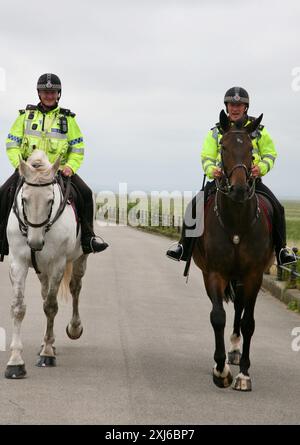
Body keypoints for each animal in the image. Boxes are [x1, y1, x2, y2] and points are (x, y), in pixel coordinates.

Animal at [5, 150, 87, 378]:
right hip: (42, 271)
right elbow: (18, 308)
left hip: (79, 260)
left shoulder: (58, 264)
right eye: (24, 199)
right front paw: (15, 362)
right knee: (44, 292)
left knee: (75, 288)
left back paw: (73, 329)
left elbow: (51, 306)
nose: (34, 243)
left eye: (50, 201)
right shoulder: (18, 263)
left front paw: (48, 354)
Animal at [193, 110, 276, 388]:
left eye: (251, 149)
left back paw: (237, 350)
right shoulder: (215, 273)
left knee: (240, 309)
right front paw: (221, 370)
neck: (237, 223)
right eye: (223, 147)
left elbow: (248, 322)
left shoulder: (254, 275)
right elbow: (217, 316)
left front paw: (244, 374)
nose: (239, 189)